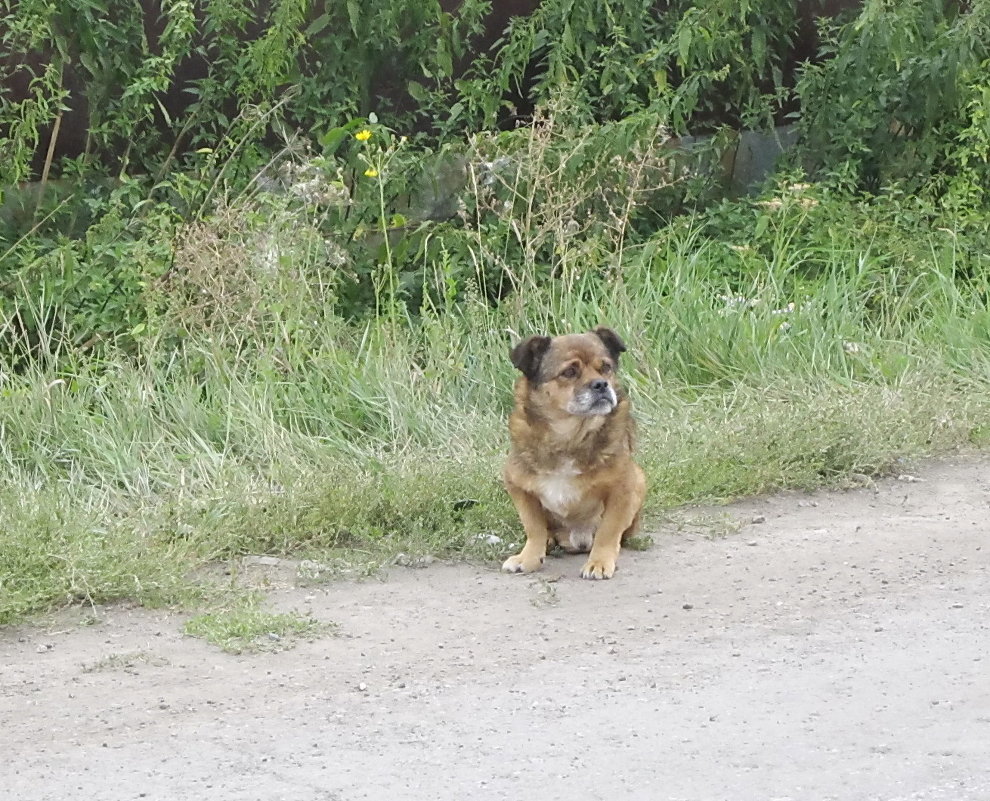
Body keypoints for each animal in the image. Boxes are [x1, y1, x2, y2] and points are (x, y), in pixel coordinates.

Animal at [500, 324, 648, 580]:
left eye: (606, 367)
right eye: (569, 372)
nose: (601, 384)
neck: (570, 437)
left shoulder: (624, 488)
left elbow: (608, 530)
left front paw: (599, 562)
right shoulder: (518, 486)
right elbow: (534, 527)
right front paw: (528, 558)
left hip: (640, 478)